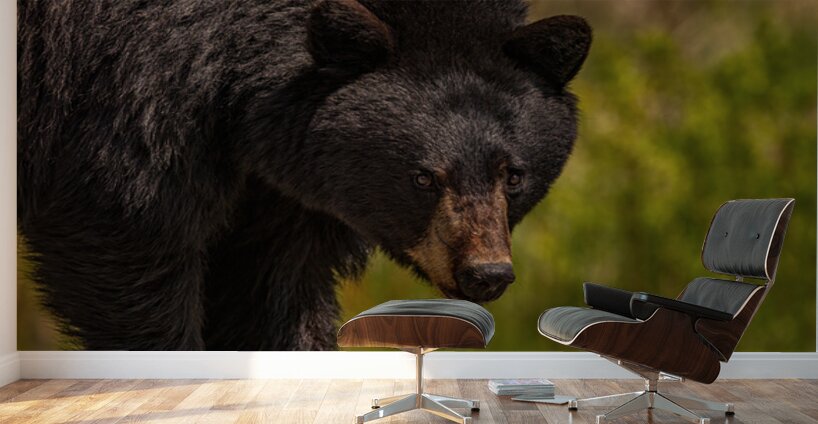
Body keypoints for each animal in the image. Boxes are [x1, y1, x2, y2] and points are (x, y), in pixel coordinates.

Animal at [17, 0, 592, 350]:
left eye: (513, 175)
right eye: (424, 178)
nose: (486, 273)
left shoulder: (284, 184)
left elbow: (274, 283)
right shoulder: (126, 91)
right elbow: (127, 228)